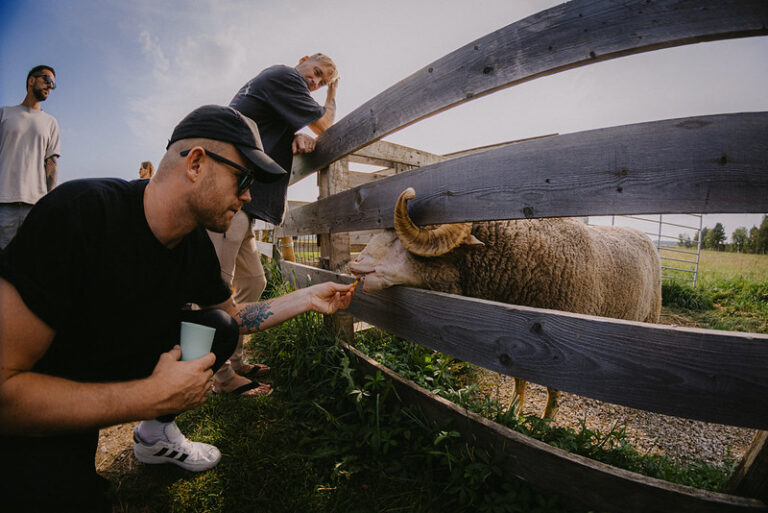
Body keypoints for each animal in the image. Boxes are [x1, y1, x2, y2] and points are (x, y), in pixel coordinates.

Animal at [352, 186, 664, 418]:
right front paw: (514, 410)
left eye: (397, 241)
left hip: (648, 318)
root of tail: (642, 235)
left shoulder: (563, 347)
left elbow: (553, 390)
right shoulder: (515, 340)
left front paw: (545, 423)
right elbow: (519, 379)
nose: (355, 265)